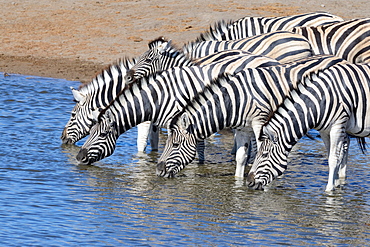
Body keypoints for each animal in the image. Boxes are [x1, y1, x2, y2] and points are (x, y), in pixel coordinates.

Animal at [154, 54, 346, 178]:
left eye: (175, 144)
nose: (158, 170)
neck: (237, 99)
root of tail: (340, 58)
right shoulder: (242, 128)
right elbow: (241, 157)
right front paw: (238, 185)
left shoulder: (260, 123)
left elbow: (261, 150)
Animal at [246, 62, 370, 192]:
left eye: (265, 155)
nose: (248, 181)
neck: (320, 101)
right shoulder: (325, 131)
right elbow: (332, 156)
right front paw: (336, 184)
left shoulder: (337, 126)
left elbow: (333, 159)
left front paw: (329, 189)